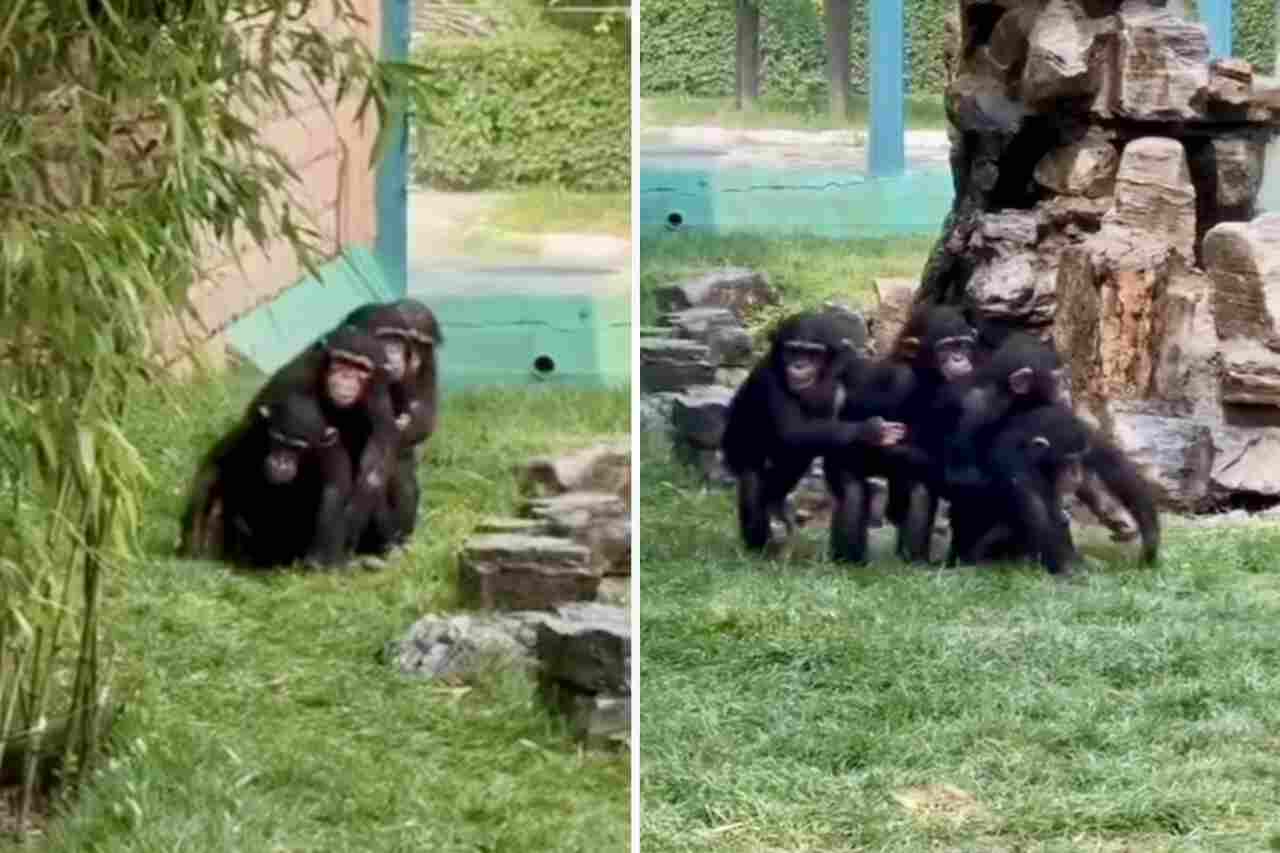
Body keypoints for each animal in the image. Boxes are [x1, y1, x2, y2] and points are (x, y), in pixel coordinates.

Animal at [177, 391, 353, 563]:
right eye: (277, 440)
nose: (280, 462)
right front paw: (192, 540)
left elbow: (332, 495)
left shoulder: (332, 458)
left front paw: (317, 560)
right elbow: (216, 464)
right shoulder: (249, 430)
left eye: (297, 448)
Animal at [721, 308, 911, 555]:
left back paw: (775, 503)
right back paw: (758, 543)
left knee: (797, 456)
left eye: (813, 354)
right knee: (752, 476)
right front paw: (872, 430)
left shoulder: (850, 364)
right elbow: (792, 432)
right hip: (734, 447)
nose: (799, 365)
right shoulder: (769, 378)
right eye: (792, 351)